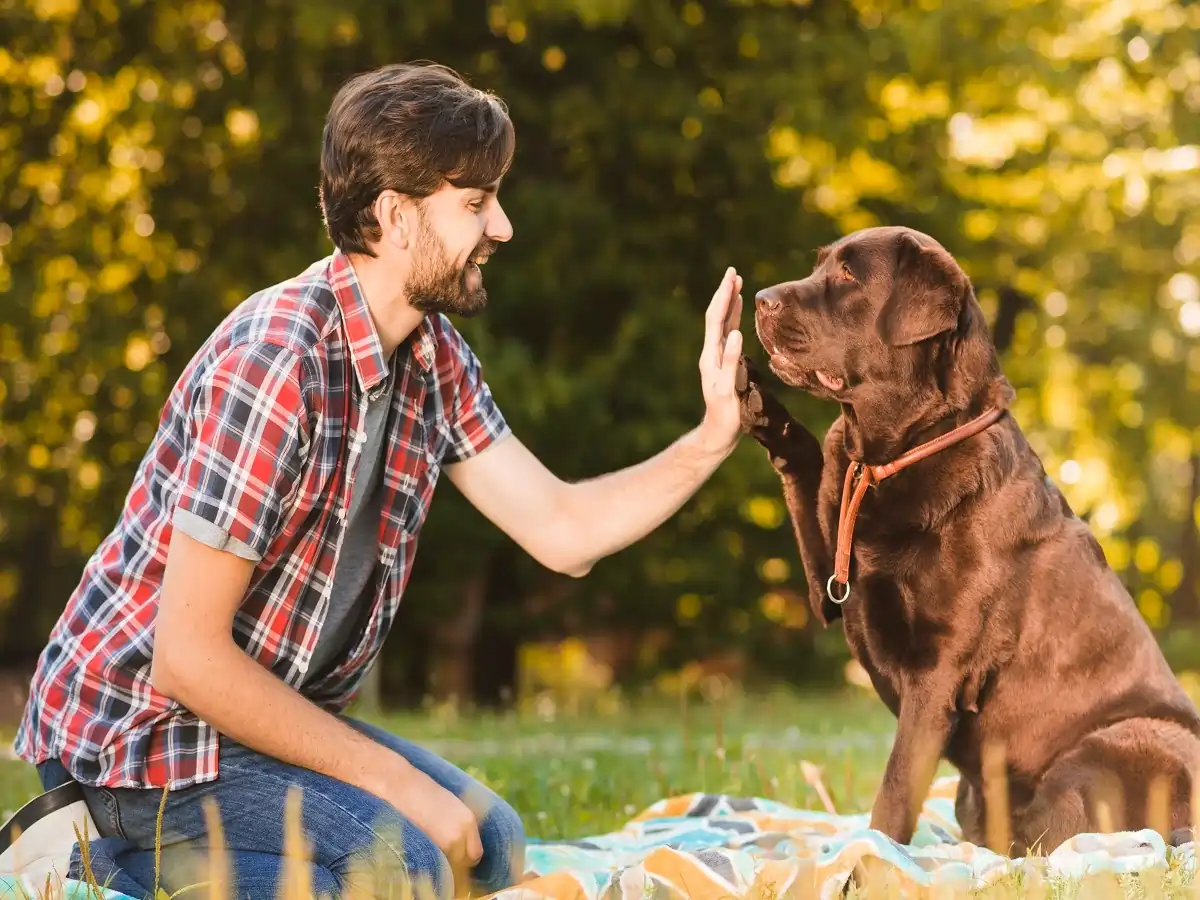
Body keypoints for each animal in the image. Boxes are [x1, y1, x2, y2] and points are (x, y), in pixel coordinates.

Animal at [734, 224, 1200, 854]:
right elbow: (808, 461)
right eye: (820, 264)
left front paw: (868, 861)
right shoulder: (827, 583)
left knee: (1052, 841)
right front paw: (760, 402)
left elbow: (894, 793)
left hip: (1111, 747)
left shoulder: (938, 672)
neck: (894, 455)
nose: (760, 298)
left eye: (850, 274)